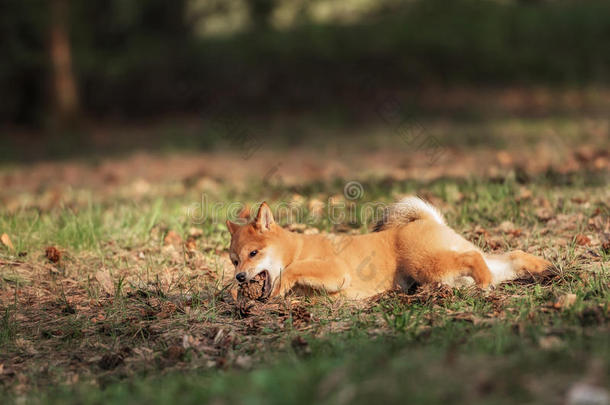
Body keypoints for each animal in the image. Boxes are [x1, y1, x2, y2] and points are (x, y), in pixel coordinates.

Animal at [227, 197, 552, 298]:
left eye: (253, 253)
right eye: (234, 261)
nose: (240, 278)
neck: (296, 247)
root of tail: (426, 220)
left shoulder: (337, 272)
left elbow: (294, 270)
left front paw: (282, 284)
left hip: (431, 266)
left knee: (475, 257)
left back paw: (486, 282)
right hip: (448, 270)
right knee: (509, 256)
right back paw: (544, 268)